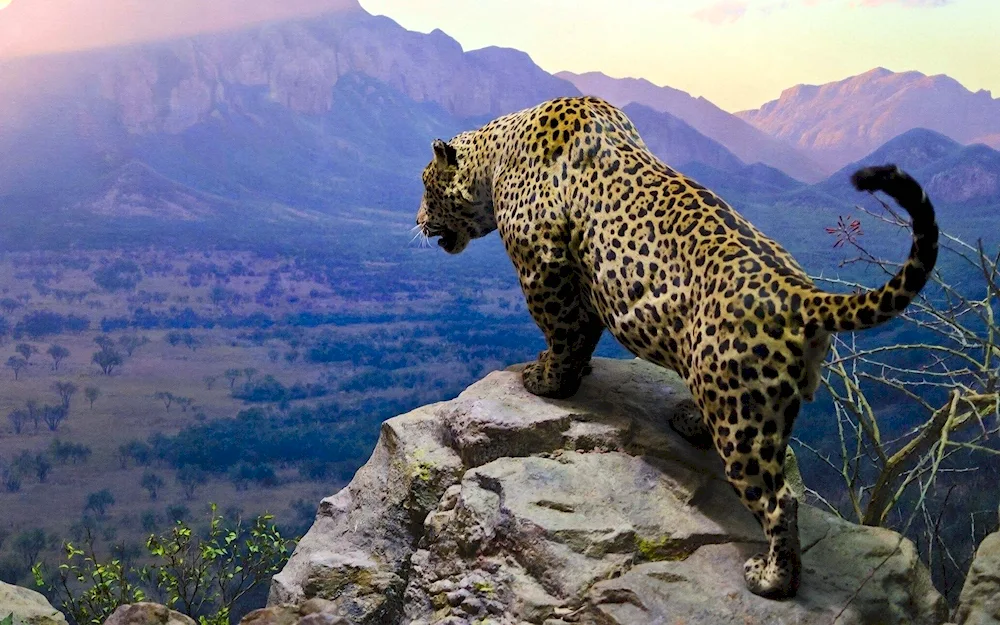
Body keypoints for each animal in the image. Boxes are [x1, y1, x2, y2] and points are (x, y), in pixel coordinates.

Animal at [414, 95, 936, 596]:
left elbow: (562, 330)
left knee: (779, 501)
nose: (416, 220)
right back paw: (689, 420)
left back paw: (774, 579)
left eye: (425, 185)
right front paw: (573, 372)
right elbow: (582, 334)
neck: (495, 156)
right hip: (764, 401)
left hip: (741, 416)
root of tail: (802, 294)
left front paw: (547, 380)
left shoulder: (544, 266)